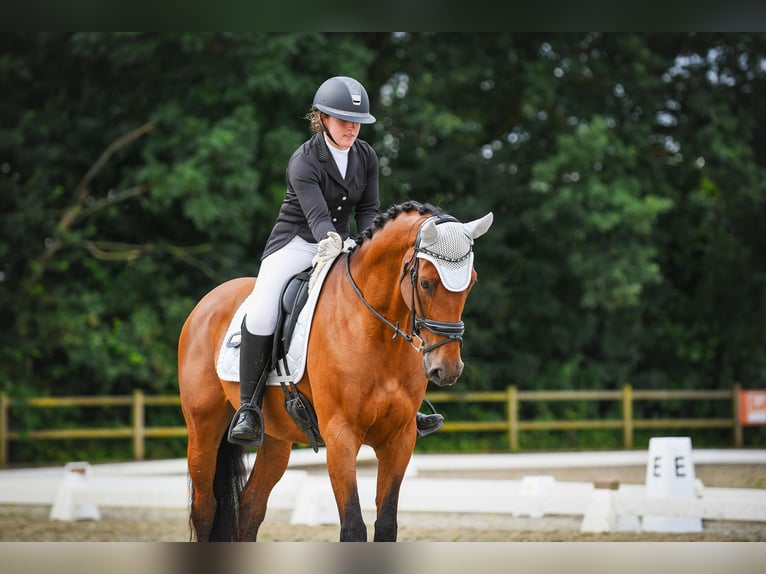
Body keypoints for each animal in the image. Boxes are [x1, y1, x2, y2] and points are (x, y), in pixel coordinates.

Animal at [177, 200, 493, 541]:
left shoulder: (400, 438)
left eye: (472, 282)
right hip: (203, 428)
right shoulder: (341, 435)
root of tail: (208, 301)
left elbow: (386, 524)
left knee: (251, 505)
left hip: (276, 437)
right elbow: (353, 527)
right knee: (205, 507)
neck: (374, 331)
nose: (446, 369)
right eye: (425, 283)